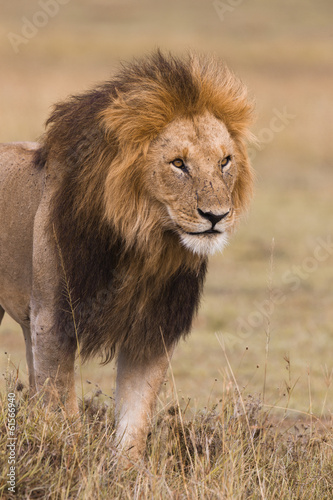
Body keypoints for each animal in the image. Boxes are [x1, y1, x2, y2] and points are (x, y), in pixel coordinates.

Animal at [0, 51, 253, 460]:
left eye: (225, 162)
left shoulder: (152, 330)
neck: (143, 243)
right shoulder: (53, 320)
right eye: (178, 164)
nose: (216, 216)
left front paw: (125, 471)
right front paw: (67, 463)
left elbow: (135, 421)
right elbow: (64, 413)